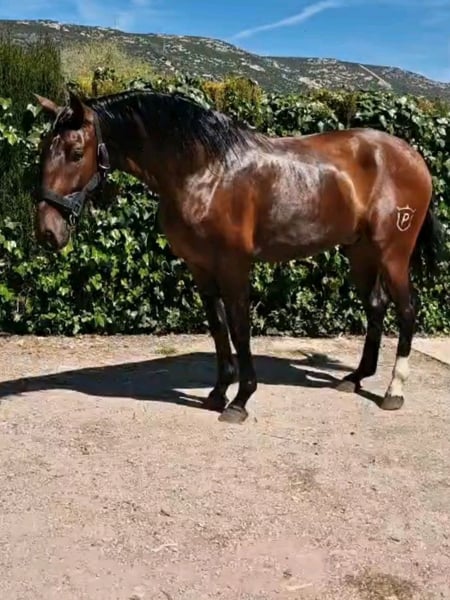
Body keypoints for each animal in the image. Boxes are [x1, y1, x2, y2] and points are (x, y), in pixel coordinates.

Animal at [33, 88, 444, 424]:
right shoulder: (200, 268)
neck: (205, 170)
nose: (48, 231)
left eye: (75, 152)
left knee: (408, 309)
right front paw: (218, 393)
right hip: (360, 253)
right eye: (42, 150)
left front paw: (241, 400)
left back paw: (393, 391)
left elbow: (240, 328)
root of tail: (414, 157)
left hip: (394, 254)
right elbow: (217, 328)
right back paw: (355, 378)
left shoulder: (234, 266)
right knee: (376, 306)